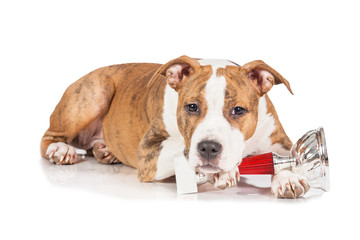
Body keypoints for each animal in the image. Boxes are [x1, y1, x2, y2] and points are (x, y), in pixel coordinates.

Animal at [40, 56, 310, 199]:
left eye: (238, 110)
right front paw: (224, 173)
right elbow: (181, 148)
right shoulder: (149, 152)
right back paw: (61, 150)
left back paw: (104, 150)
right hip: (95, 92)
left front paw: (287, 178)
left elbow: (287, 156)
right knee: (48, 137)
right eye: (191, 107)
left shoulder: (278, 138)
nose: (209, 148)